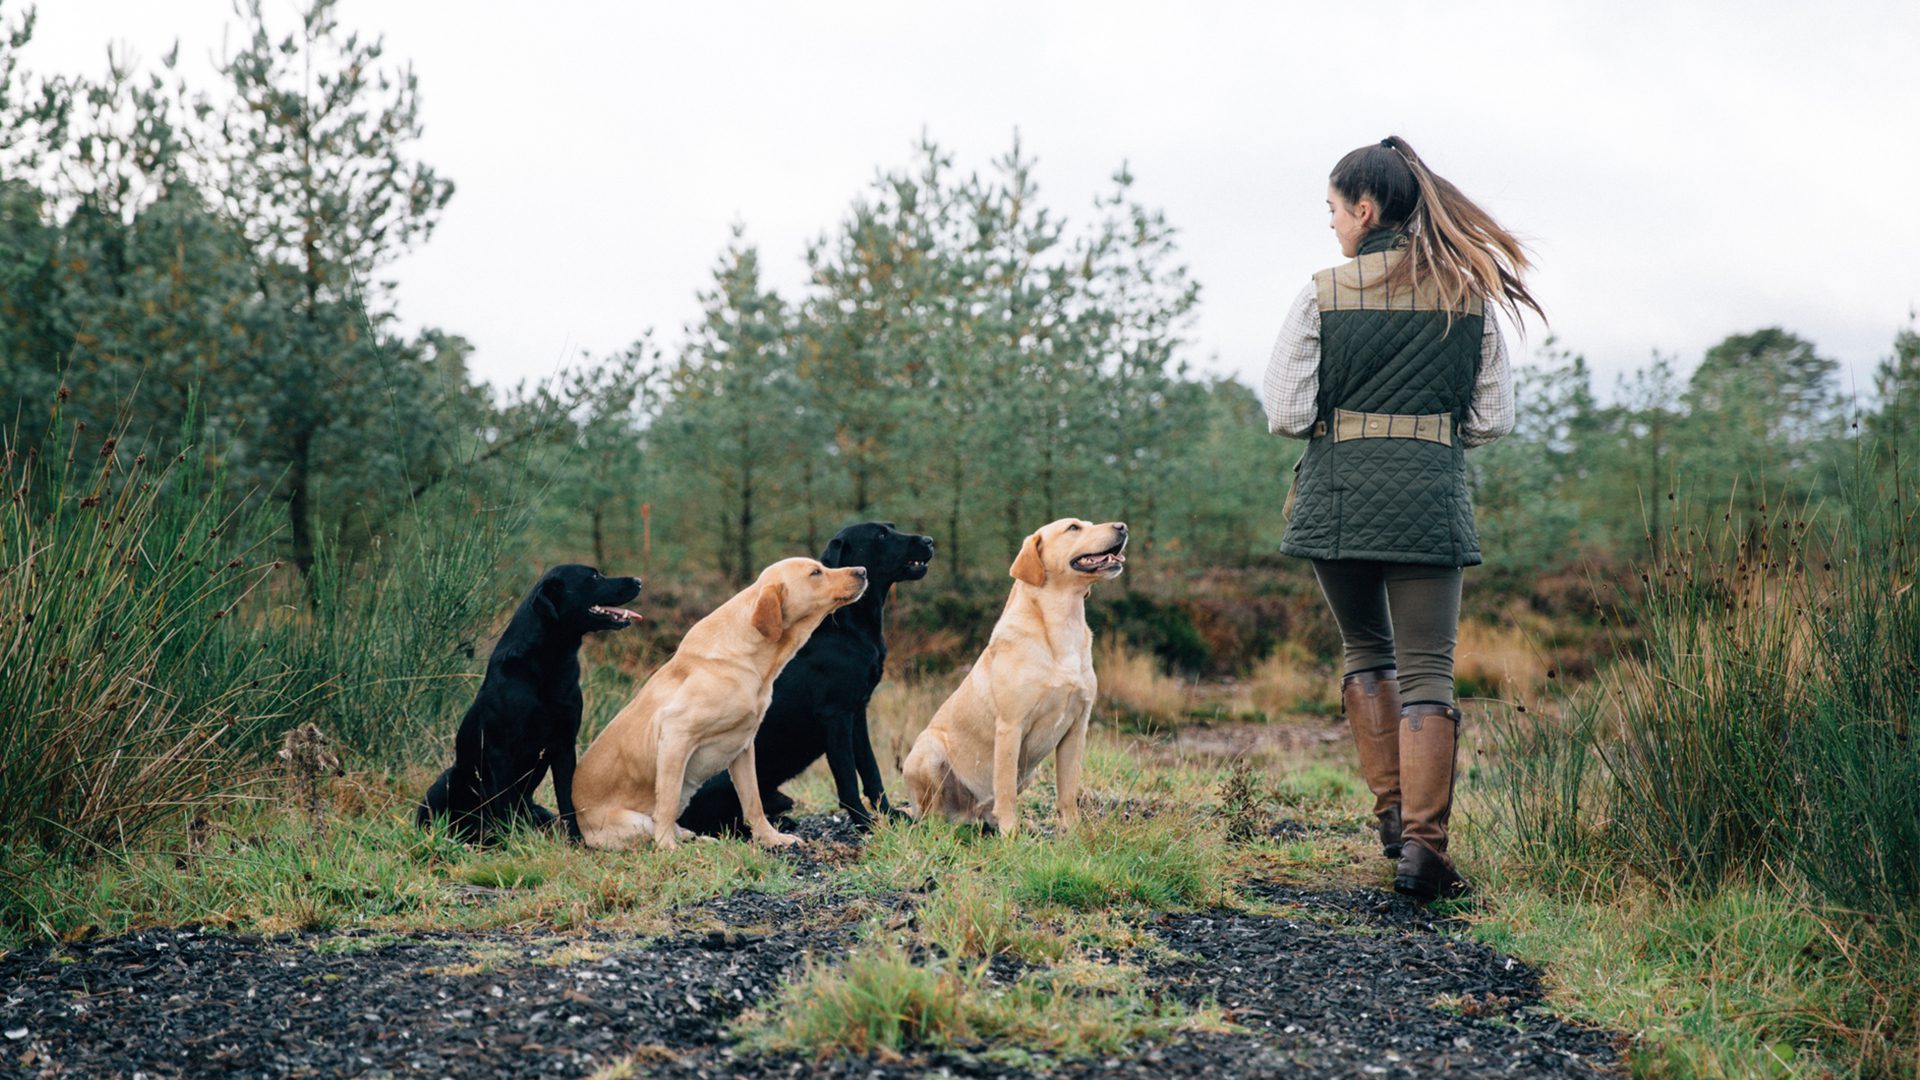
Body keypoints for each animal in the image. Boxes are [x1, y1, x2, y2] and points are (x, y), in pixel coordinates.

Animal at [416, 564, 641, 841]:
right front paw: (510, 842)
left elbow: (567, 799)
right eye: (594, 576)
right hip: (445, 781)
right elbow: (505, 804)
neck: (548, 661)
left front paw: (576, 840)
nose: (638, 581)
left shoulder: (564, 745)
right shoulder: (500, 751)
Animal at [568, 553, 871, 849]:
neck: (745, 658)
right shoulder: (675, 735)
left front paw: (772, 839)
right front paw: (667, 847)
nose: (862, 570)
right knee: (653, 824)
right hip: (635, 821)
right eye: (815, 572)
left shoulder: (744, 748)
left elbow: (753, 802)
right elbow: (666, 804)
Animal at [683, 522, 936, 834]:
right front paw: (864, 824)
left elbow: (871, 771)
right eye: (881, 535)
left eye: (891, 528)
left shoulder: (858, 712)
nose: (930, 540)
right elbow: (847, 779)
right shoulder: (835, 715)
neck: (847, 625)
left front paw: (890, 815)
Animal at [898, 518, 1121, 837]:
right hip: (928, 749)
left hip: (1029, 771)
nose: (1123, 527)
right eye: (1073, 527)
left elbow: (1067, 789)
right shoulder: (1010, 726)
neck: (1062, 622)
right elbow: (1004, 788)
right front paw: (1010, 834)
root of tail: (966, 816)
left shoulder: (1077, 727)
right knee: (932, 813)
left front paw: (1073, 831)